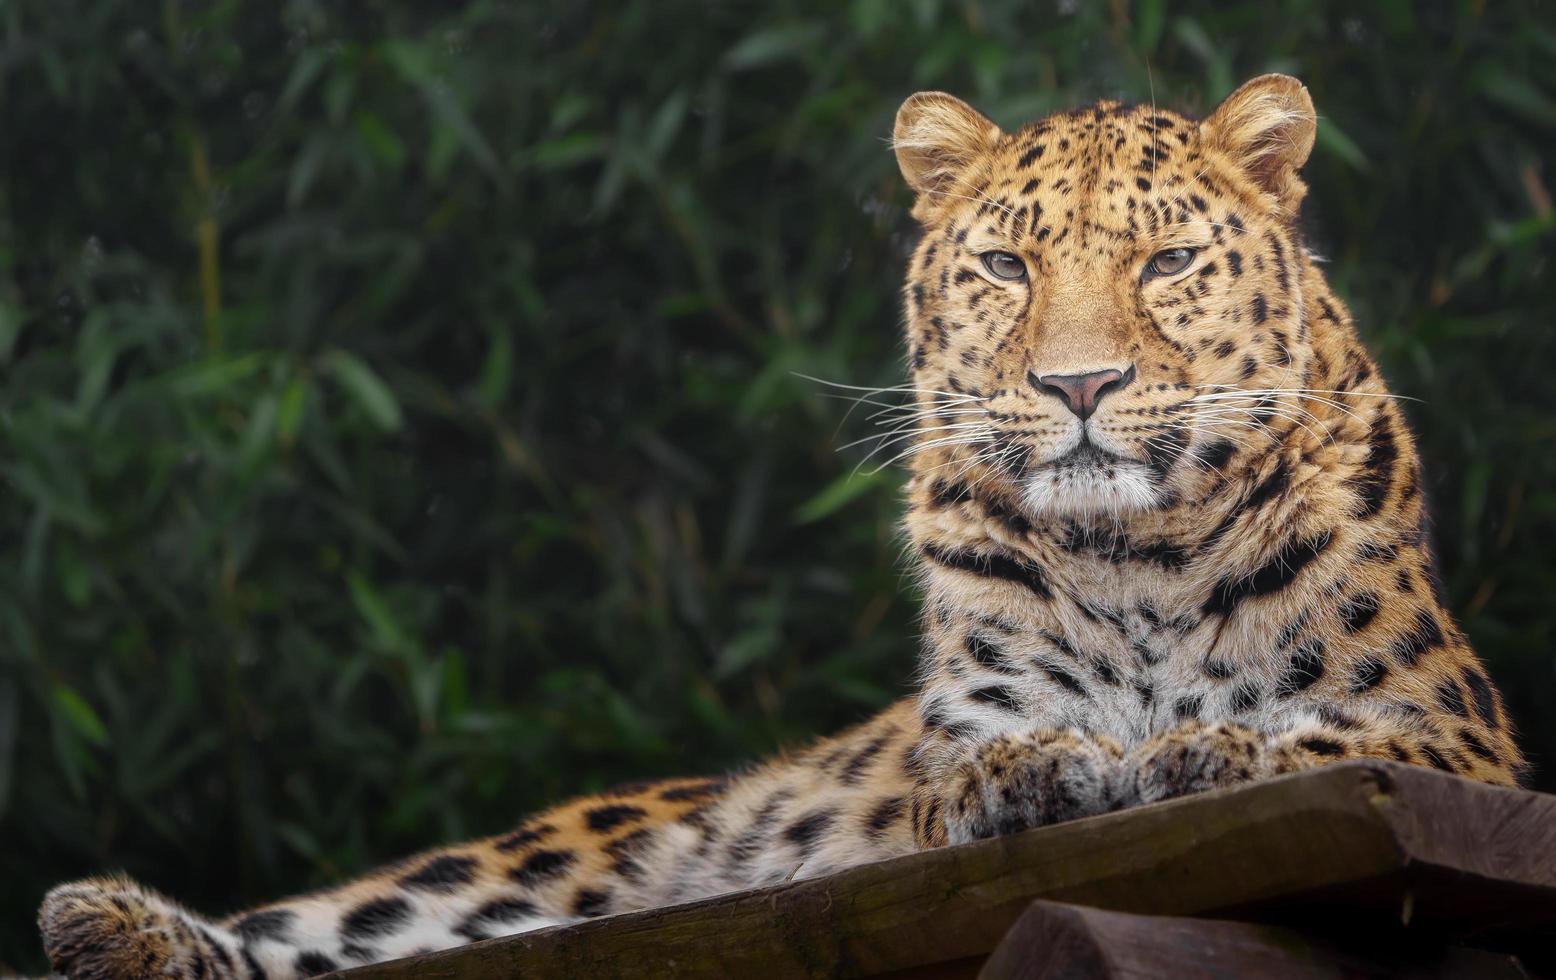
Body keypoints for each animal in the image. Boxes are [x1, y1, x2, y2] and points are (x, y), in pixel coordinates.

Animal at [30, 77, 1524, 980]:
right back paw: (106, 920)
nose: (1079, 386)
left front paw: (1203, 747)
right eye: (1006, 264)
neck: (1134, 557)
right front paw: (1037, 771)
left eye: (1164, 262)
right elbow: (972, 763)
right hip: (554, 856)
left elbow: (1323, 733)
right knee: (351, 924)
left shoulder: (1461, 741)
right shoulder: (956, 735)